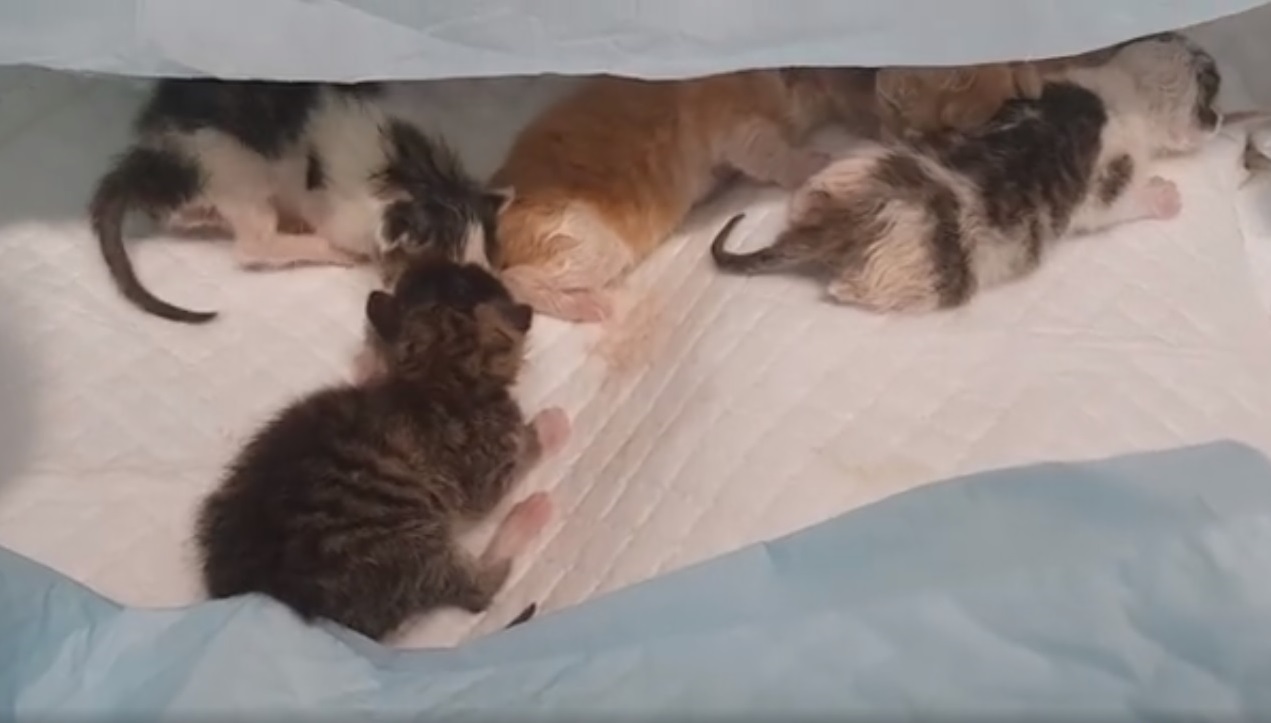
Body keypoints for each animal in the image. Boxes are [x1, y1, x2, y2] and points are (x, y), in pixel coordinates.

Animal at [195, 256, 568, 641]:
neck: (438, 376)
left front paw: (367, 359)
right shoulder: (482, 466)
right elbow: (510, 468)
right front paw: (547, 428)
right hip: (406, 545)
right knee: (477, 591)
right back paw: (527, 516)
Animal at [488, 67, 877, 323]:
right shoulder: (737, 126)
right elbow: (774, 155)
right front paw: (816, 162)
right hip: (589, 244)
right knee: (515, 280)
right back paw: (589, 306)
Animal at [709, 33, 1221, 314]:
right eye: (1213, 93)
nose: (1217, 121)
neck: (1121, 87)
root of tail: (831, 228)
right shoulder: (1106, 181)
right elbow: (1118, 204)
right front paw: (1164, 196)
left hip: (851, 168)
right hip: (922, 276)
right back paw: (844, 289)